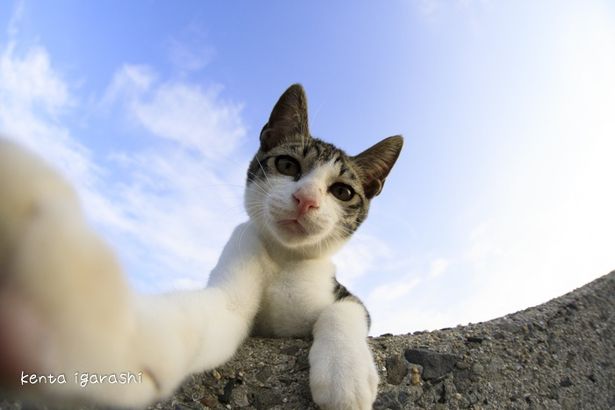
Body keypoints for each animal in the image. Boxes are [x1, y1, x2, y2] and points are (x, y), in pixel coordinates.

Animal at [0, 84, 404, 410]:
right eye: (288, 165)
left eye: (342, 192)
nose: (306, 199)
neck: (283, 257)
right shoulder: (239, 261)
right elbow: (214, 312)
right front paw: (119, 341)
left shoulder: (340, 291)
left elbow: (343, 309)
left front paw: (346, 377)